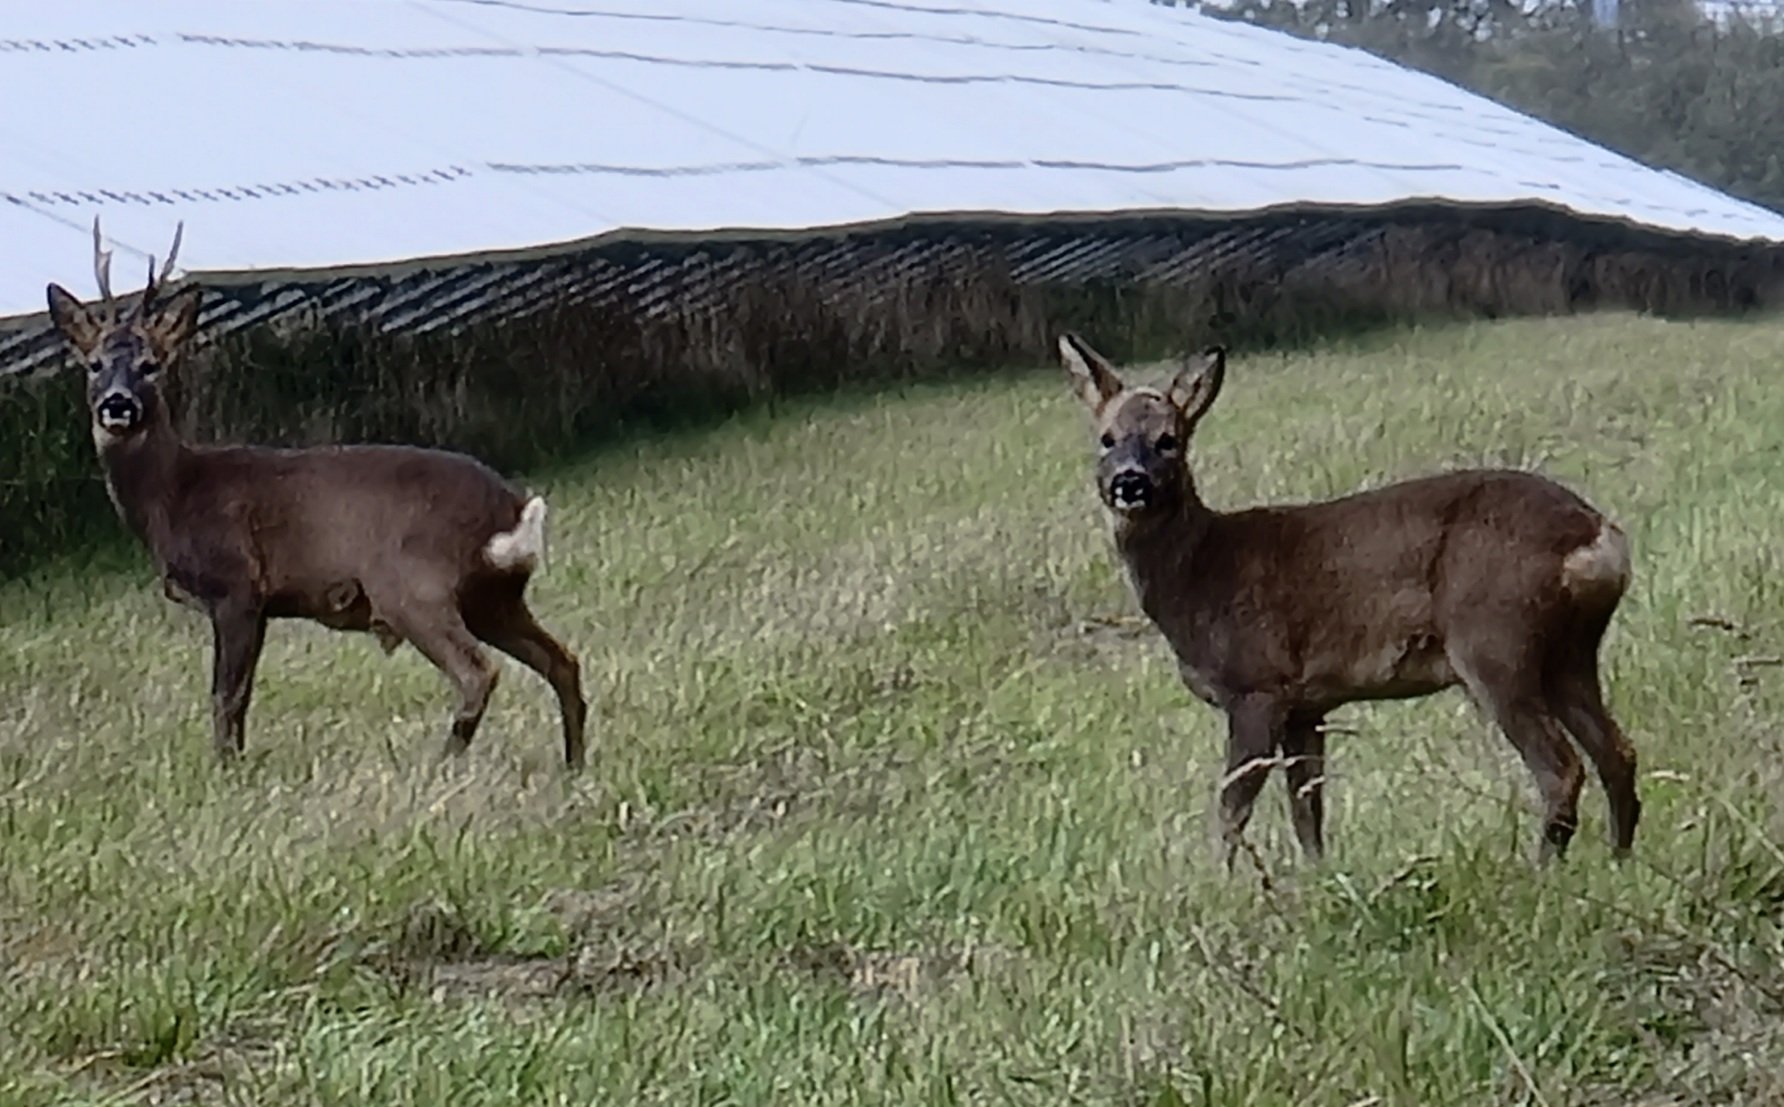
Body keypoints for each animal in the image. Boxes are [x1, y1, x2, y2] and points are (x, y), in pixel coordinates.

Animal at [45, 215, 588, 770]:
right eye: (93, 364)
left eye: (151, 364)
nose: (117, 405)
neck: (173, 495)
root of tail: (511, 509)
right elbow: (239, 696)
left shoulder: (238, 586)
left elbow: (227, 696)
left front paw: (226, 771)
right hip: (494, 597)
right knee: (563, 661)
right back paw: (573, 767)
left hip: (413, 583)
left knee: (478, 672)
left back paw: (441, 764)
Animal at [1056, 331, 1641, 866]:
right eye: (1106, 438)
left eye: (1168, 440)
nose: (1129, 483)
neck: (1201, 572)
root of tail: (1599, 538)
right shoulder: (1306, 705)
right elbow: (1306, 810)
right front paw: (1318, 881)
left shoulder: (1256, 685)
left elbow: (1232, 809)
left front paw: (1225, 883)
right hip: (1567, 655)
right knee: (1618, 751)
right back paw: (1619, 860)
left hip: (1495, 640)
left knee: (1562, 768)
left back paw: (1541, 871)